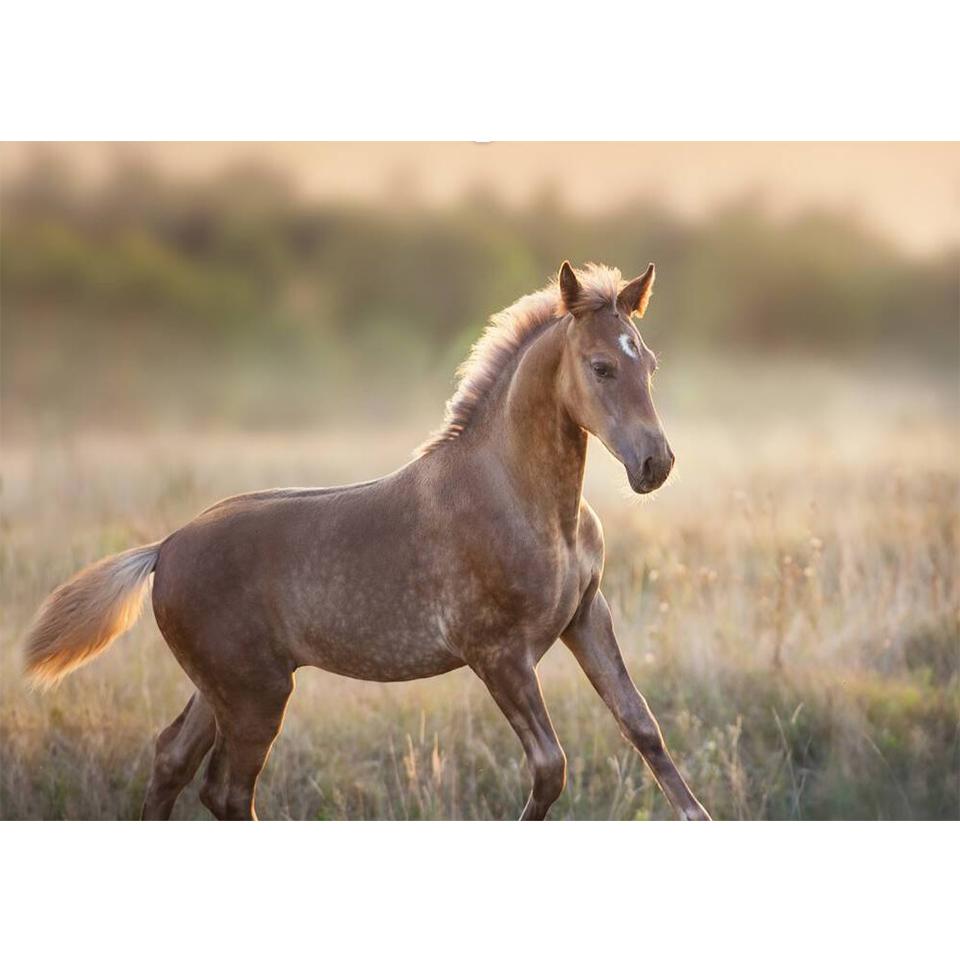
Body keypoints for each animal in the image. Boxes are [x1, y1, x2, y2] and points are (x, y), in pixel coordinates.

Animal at [24, 261, 710, 821]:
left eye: (648, 364)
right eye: (601, 367)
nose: (655, 464)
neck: (526, 501)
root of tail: (162, 549)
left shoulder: (586, 617)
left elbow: (642, 726)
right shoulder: (496, 654)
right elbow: (550, 769)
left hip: (222, 688)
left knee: (171, 760)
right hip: (254, 696)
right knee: (226, 789)